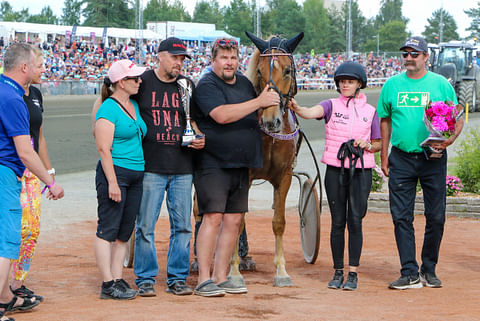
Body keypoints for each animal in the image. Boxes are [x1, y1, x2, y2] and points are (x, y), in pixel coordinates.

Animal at [229, 31, 304, 286]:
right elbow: (238, 220)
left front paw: (281, 270)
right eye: (260, 71)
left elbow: (278, 222)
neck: (271, 137)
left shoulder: (285, 176)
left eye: (288, 70)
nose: (271, 121)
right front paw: (233, 271)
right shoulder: (244, 175)